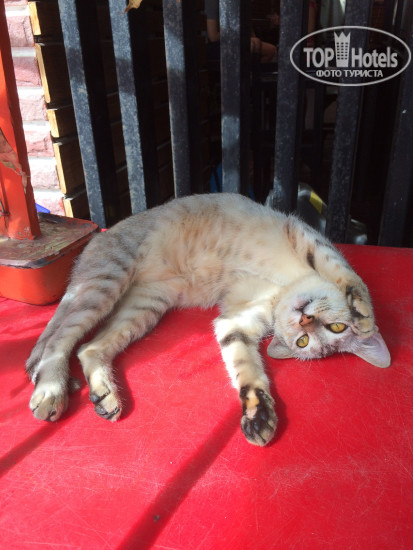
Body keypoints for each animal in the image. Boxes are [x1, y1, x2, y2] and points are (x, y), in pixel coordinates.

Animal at [26, 193, 390, 446]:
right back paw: (51, 390)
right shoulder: (302, 234)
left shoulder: (233, 323)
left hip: (145, 307)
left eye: (305, 342)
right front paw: (363, 313)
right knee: (59, 339)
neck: (282, 288)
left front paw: (258, 415)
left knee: (88, 347)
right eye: (335, 328)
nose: (305, 321)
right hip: (107, 281)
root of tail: (98, 238)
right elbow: (346, 275)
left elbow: (246, 370)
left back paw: (105, 396)